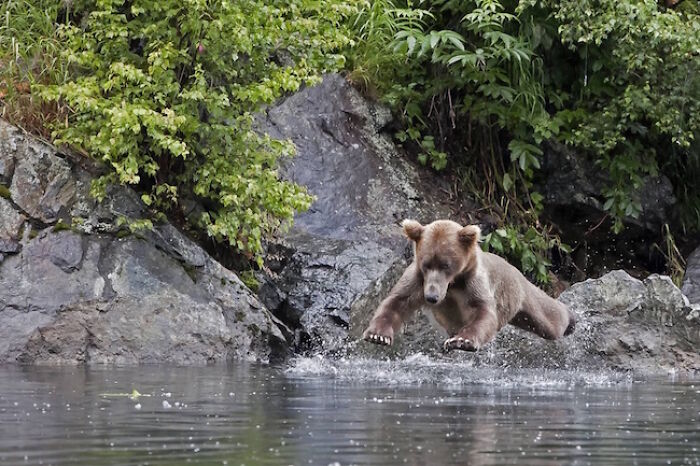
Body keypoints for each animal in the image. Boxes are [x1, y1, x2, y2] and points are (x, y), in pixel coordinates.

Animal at [362, 219, 576, 351]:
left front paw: (461, 341)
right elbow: (397, 301)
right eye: (426, 263)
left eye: (446, 264)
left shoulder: (474, 282)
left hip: (520, 292)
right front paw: (378, 335)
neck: (453, 283)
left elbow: (484, 312)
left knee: (550, 318)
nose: (431, 297)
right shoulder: (418, 279)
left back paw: (571, 319)